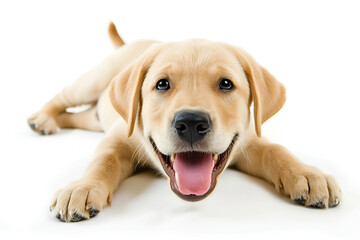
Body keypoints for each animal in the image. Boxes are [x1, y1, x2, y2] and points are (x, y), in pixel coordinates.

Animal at [27, 23, 340, 223]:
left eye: (226, 84)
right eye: (162, 84)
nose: (191, 122)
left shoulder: (248, 139)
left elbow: (276, 150)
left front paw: (307, 174)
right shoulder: (117, 137)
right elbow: (103, 160)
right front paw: (83, 187)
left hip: (94, 116)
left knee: (78, 115)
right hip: (92, 81)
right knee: (64, 95)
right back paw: (41, 119)